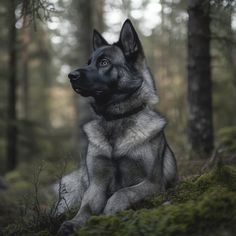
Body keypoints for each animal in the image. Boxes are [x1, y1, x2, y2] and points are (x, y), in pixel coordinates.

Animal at [55, 18, 177, 236]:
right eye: (89, 62)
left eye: (104, 62)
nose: (70, 75)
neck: (117, 118)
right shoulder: (96, 184)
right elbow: (86, 206)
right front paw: (75, 222)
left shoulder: (153, 183)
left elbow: (122, 193)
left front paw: (108, 215)